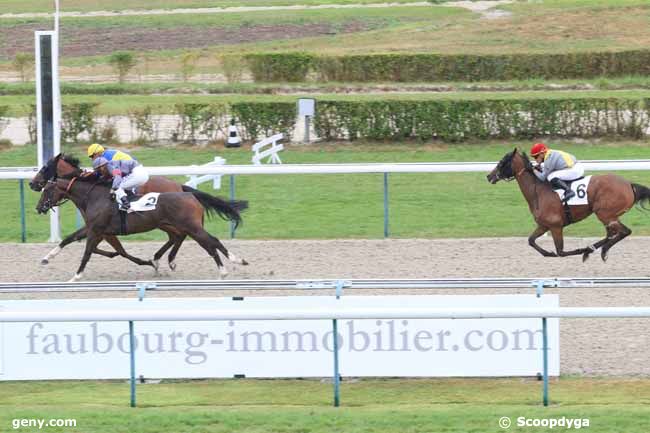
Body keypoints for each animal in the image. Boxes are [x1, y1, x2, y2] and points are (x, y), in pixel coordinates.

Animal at [29, 154, 192, 270]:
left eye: (44, 167)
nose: (32, 184)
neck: (90, 193)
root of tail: (178, 186)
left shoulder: (102, 231)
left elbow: (114, 250)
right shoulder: (96, 229)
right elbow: (72, 240)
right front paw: (47, 257)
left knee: (180, 234)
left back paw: (166, 260)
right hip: (163, 223)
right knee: (176, 236)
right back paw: (161, 258)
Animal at [37, 176, 248, 280]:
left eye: (46, 190)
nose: (39, 207)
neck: (94, 197)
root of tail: (189, 195)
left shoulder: (97, 230)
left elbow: (88, 252)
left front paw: (76, 276)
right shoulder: (94, 228)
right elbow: (69, 239)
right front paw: (46, 258)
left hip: (192, 227)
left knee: (211, 242)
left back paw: (227, 267)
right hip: (179, 225)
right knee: (195, 240)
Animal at [484, 149, 648, 260]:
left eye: (502, 162)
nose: (489, 176)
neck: (538, 191)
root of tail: (629, 185)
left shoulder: (556, 225)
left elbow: (561, 252)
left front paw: (581, 250)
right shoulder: (544, 225)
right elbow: (531, 240)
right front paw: (548, 253)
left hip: (605, 213)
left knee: (624, 232)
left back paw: (597, 251)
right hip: (609, 216)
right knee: (612, 233)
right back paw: (595, 249)